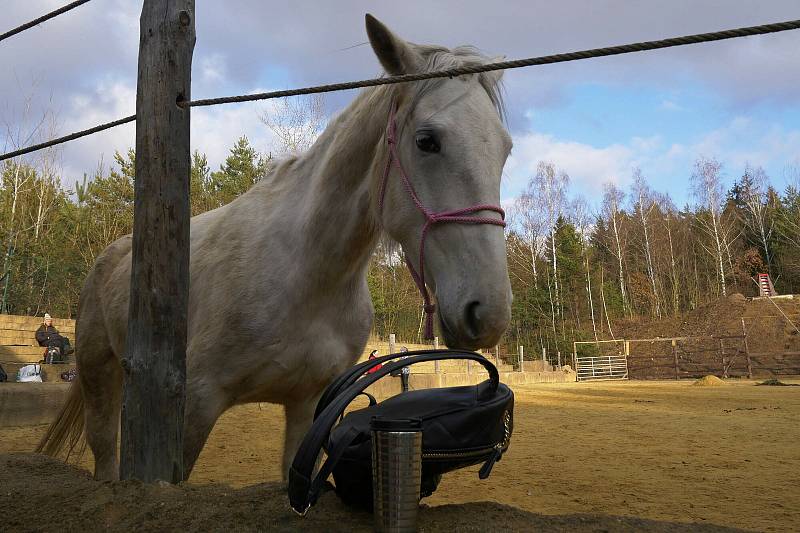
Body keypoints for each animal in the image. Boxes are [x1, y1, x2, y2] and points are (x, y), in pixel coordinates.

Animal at [39, 14, 512, 480]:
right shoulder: (195, 404)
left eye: (505, 149)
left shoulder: (309, 406)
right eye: (427, 140)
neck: (308, 275)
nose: (487, 313)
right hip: (98, 372)